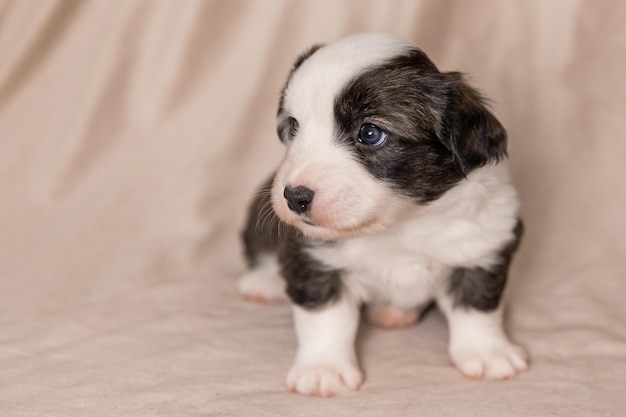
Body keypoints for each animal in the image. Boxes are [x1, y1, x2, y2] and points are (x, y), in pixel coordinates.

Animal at [239, 32, 528, 396]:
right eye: (293, 126)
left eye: (370, 133)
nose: (294, 197)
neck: (402, 223)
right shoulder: (312, 256)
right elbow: (325, 318)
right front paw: (323, 369)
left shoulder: (485, 243)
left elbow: (477, 305)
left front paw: (488, 353)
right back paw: (264, 281)